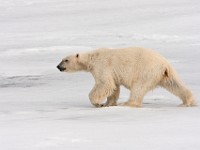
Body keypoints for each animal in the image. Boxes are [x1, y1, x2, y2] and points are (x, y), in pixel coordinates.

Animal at [56, 47, 195, 106]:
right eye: (62, 59)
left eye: (65, 60)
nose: (58, 66)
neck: (92, 58)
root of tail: (164, 64)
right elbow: (114, 87)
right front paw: (109, 103)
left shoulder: (102, 66)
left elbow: (105, 84)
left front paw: (97, 102)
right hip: (164, 74)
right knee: (175, 84)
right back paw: (188, 101)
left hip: (146, 71)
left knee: (138, 88)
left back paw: (128, 103)